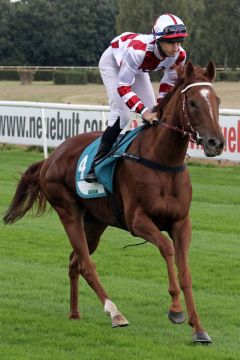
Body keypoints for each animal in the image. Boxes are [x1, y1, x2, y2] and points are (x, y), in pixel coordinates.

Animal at [3, 61, 224, 344]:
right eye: (194, 103)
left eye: (217, 100)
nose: (216, 143)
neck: (162, 161)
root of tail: (50, 158)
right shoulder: (137, 220)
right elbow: (167, 249)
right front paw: (175, 310)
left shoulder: (181, 223)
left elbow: (185, 271)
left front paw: (198, 328)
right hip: (68, 212)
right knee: (86, 264)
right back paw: (115, 313)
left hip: (95, 222)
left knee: (75, 260)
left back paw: (74, 313)